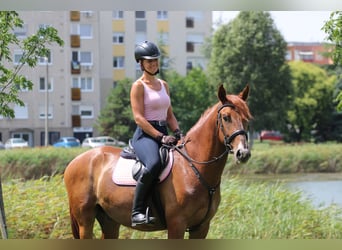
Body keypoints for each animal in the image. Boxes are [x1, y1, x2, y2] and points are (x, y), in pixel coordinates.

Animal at [63, 84, 251, 238]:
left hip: (110, 220)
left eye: (247, 119)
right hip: (85, 220)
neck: (194, 167)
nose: (243, 153)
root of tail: (75, 161)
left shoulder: (201, 228)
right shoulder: (177, 225)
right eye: (226, 117)